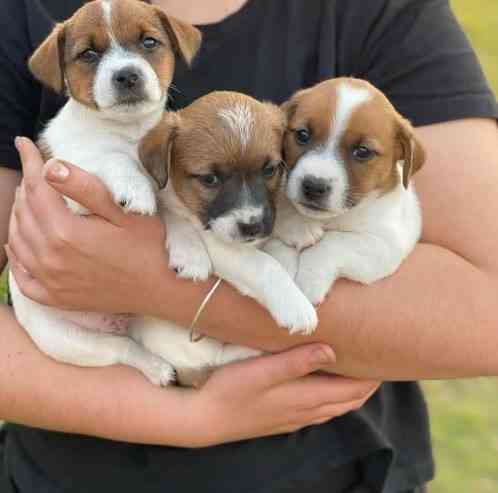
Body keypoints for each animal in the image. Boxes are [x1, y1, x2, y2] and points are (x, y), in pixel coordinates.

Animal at [8, 0, 201, 384]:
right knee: (121, 351)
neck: (131, 132)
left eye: (149, 42)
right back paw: (158, 369)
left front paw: (190, 251)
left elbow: (175, 213)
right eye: (89, 54)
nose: (126, 75)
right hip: (68, 339)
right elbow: (110, 157)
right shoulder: (66, 185)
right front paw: (134, 186)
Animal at [130, 90, 318, 386]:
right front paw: (295, 305)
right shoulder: (218, 242)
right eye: (210, 179)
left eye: (269, 170)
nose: (252, 226)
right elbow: (265, 265)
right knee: (212, 361)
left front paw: (298, 224)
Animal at [264, 77, 428, 306]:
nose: (314, 186)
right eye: (303, 135)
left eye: (363, 151)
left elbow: (332, 243)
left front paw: (307, 284)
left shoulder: (384, 244)